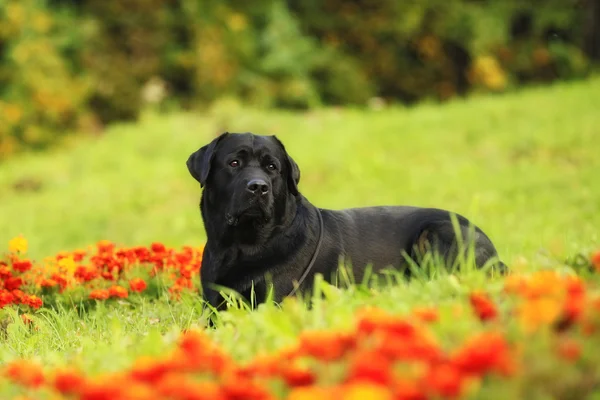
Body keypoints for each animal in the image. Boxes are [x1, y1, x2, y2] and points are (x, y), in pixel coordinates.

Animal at [188, 131, 506, 310]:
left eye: (272, 167)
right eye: (234, 163)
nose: (258, 187)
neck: (241, 245)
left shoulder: (274, 302)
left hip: (438, 232)